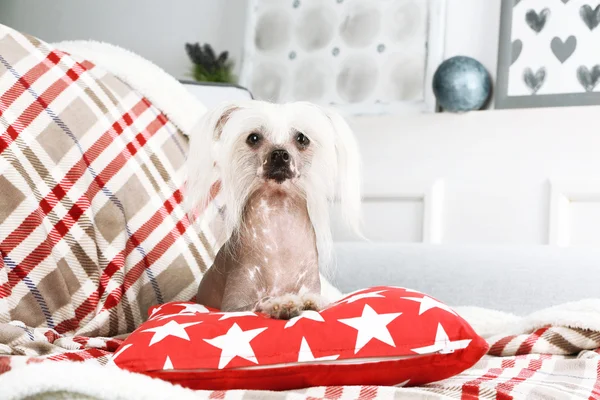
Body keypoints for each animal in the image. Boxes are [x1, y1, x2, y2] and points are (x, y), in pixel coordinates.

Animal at [185, 101, 360, 320]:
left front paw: (310, 301)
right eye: (253, 138)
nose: (279, 154)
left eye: (302, 138)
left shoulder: (311, 283)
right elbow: (259, 301)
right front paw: (282, 303)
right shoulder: (232, 305)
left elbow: (318, 297)